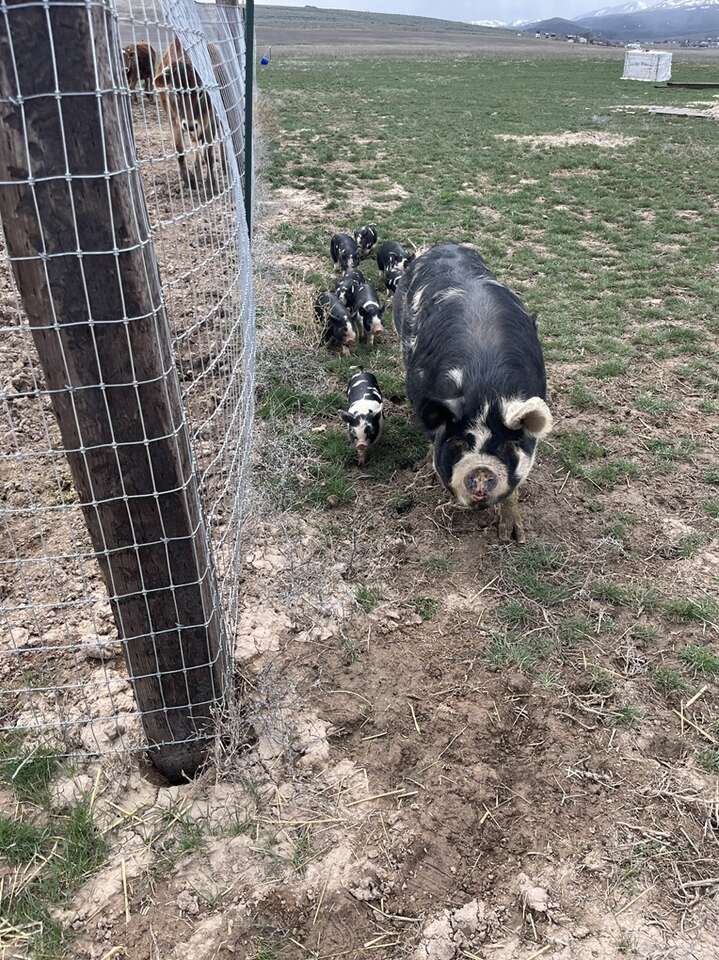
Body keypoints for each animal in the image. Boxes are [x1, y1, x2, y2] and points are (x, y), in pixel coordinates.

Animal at [393, 242, 552, 544]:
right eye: (458, 443)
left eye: (505, 446)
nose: (481, 470)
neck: (486, 391)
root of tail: (443, 245)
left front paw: (513, 536)